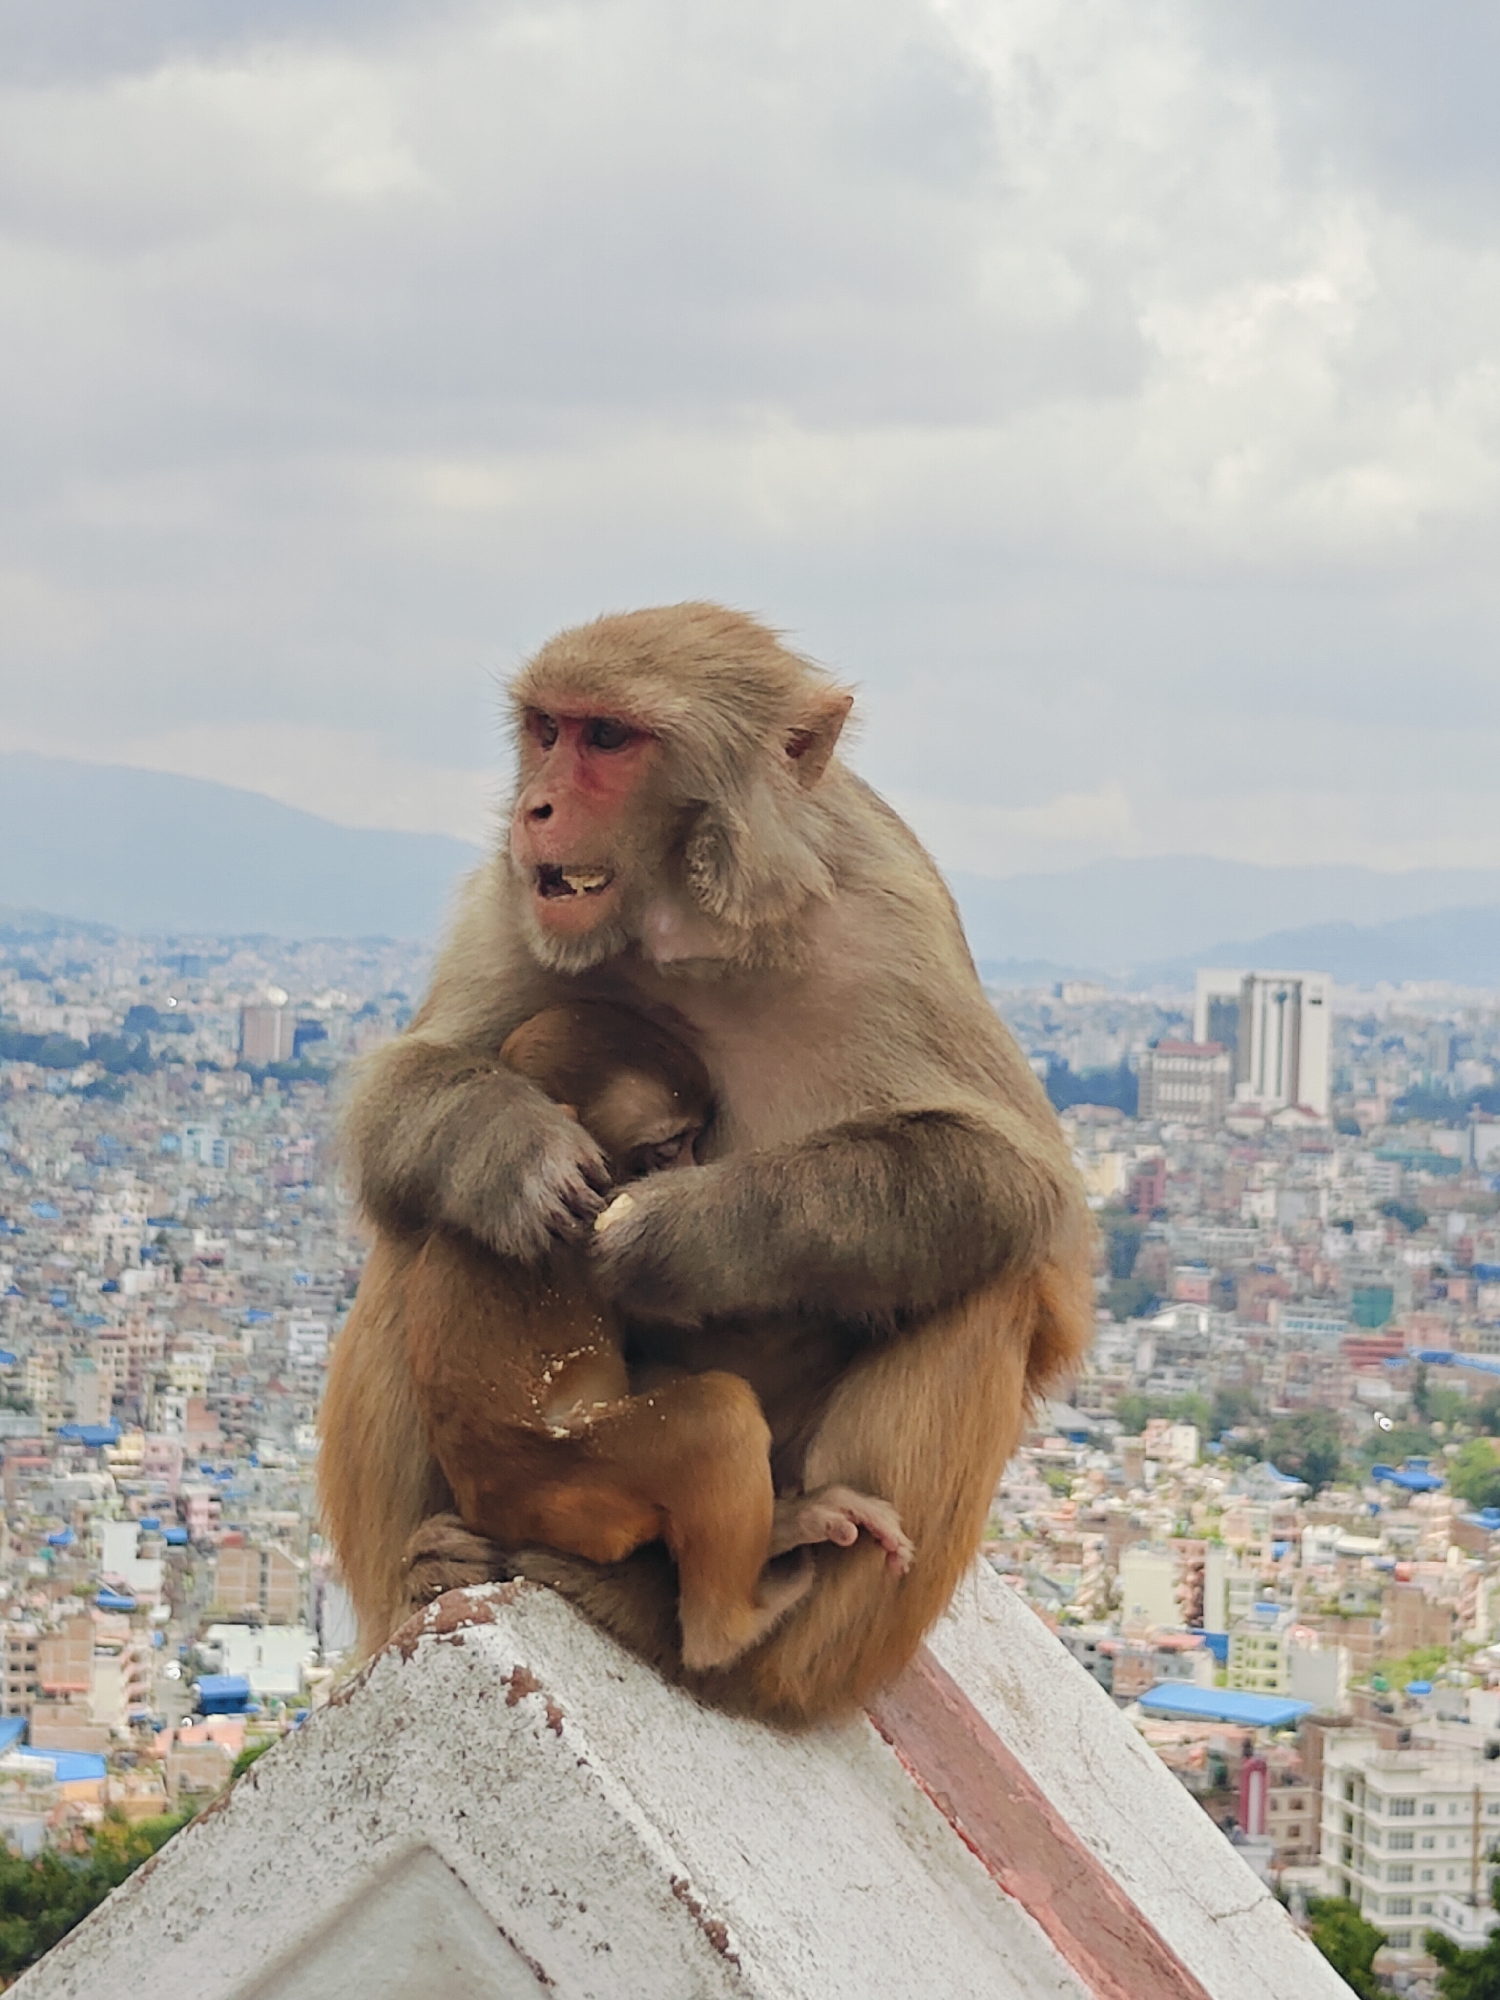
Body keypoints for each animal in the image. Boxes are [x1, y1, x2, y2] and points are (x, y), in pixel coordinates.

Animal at [404, 999, 911, 1672]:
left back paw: (783, 1527)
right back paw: (729, 1624)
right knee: (714, 1417)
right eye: (669, 1145)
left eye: (696, 1139)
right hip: (575, 1492)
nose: (696, 1169)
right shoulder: (593, 1234)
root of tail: (489, 1509)